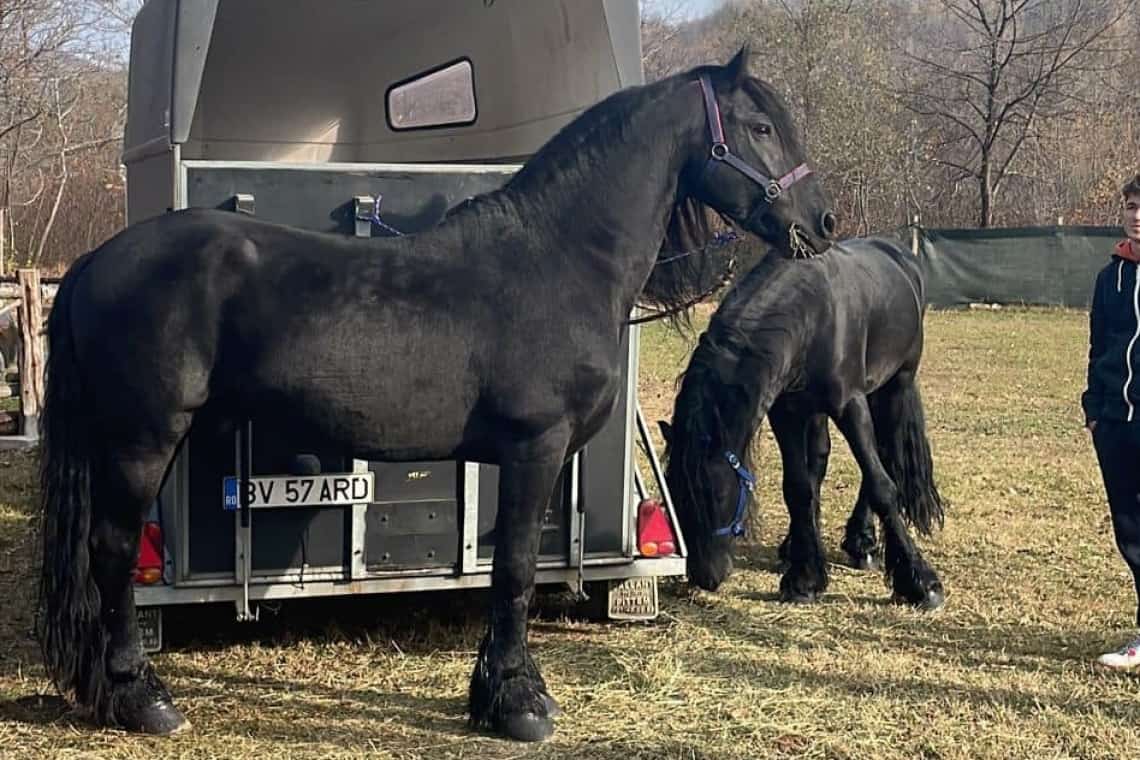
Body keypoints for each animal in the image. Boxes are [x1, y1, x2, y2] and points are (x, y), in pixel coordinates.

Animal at [35, 50, 839, 747]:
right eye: (760, 127)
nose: (823, 224)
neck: (560, 260)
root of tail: (98, 261)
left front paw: (498, 693)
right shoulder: (534, 448)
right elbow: (513, 571)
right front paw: (517, 703)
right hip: (143, 438)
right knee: (110, 552)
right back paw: (143, 698)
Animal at [661, 234, 943, 610]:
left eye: (717, 494)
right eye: (672, 491)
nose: (703, 576)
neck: (812, 317)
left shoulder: (850, 404)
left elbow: (881, 485)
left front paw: (921, 584)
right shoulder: (787, 412)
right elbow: (798, 488)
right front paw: (804, 578)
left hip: (894, 386)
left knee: (881, 458)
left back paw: (862, 544)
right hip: (818, 410)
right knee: (820, 462)